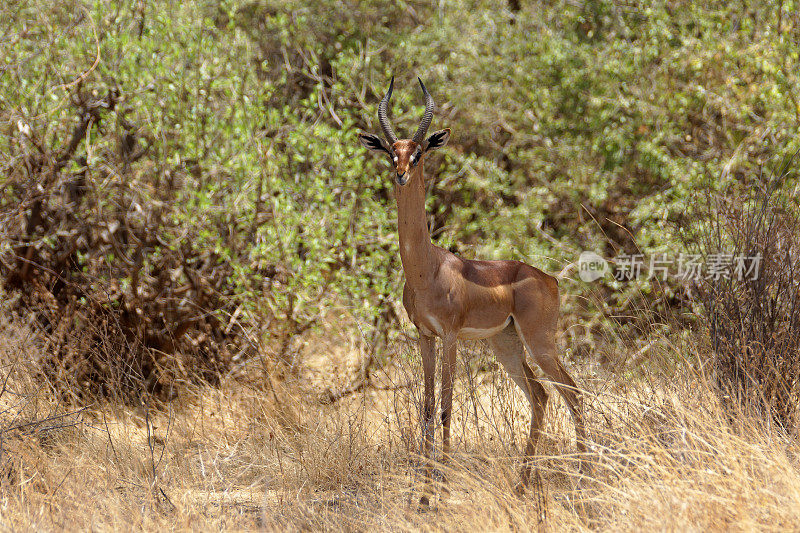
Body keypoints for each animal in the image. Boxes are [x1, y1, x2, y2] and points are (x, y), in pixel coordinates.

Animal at [356, 77, 588, 500]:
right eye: (391, 153)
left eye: (418, 153)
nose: (400, 175)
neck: (427, 268)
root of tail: (549, 279)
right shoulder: (424, 335)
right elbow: (427, 406)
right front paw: (423, 493)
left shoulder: (450, 335)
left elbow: (448, 406)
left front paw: (441, 490)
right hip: (506, 344)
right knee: (541, 396)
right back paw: (522, 485)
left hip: (539, 342)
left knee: (573, 394)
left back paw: (584, 478)